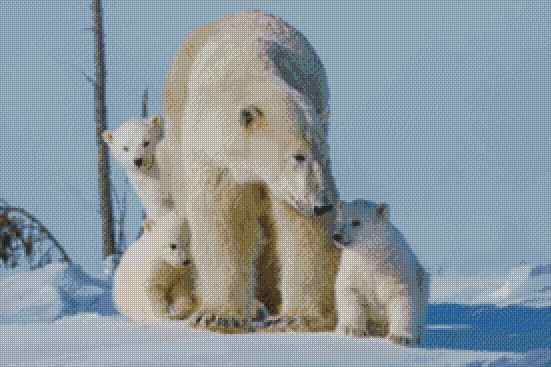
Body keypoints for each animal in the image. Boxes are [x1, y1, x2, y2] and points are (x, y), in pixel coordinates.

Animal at [156, 11, 340, 334]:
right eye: (298, 156)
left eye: (325, 156)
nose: (323, 204)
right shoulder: (215, 159)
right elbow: (223, 222)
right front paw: (219, 316)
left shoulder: (291, 186)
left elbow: (300, 228)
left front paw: (297, 318)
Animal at [332, 200, 432, 346]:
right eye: (339, 220)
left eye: (356, 222)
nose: (337, 236)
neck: (372, 255)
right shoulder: (354, 268)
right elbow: (350, 292)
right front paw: (352, 330)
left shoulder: (394, 269)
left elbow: (402, 297)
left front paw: (400, 337)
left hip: (423, 284)